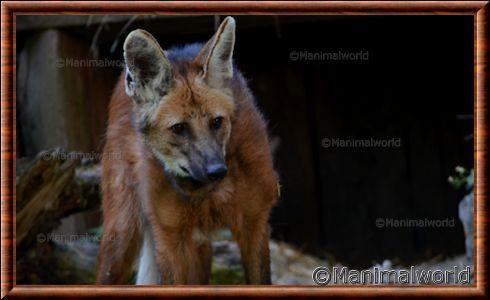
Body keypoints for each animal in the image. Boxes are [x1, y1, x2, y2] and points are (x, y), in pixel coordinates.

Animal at [96, 17, 280, 284]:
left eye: (216, 122)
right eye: (179, 128)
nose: (217, 170)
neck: (206, 192)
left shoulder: (255, 222)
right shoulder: (170, 237)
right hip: (123, 231)